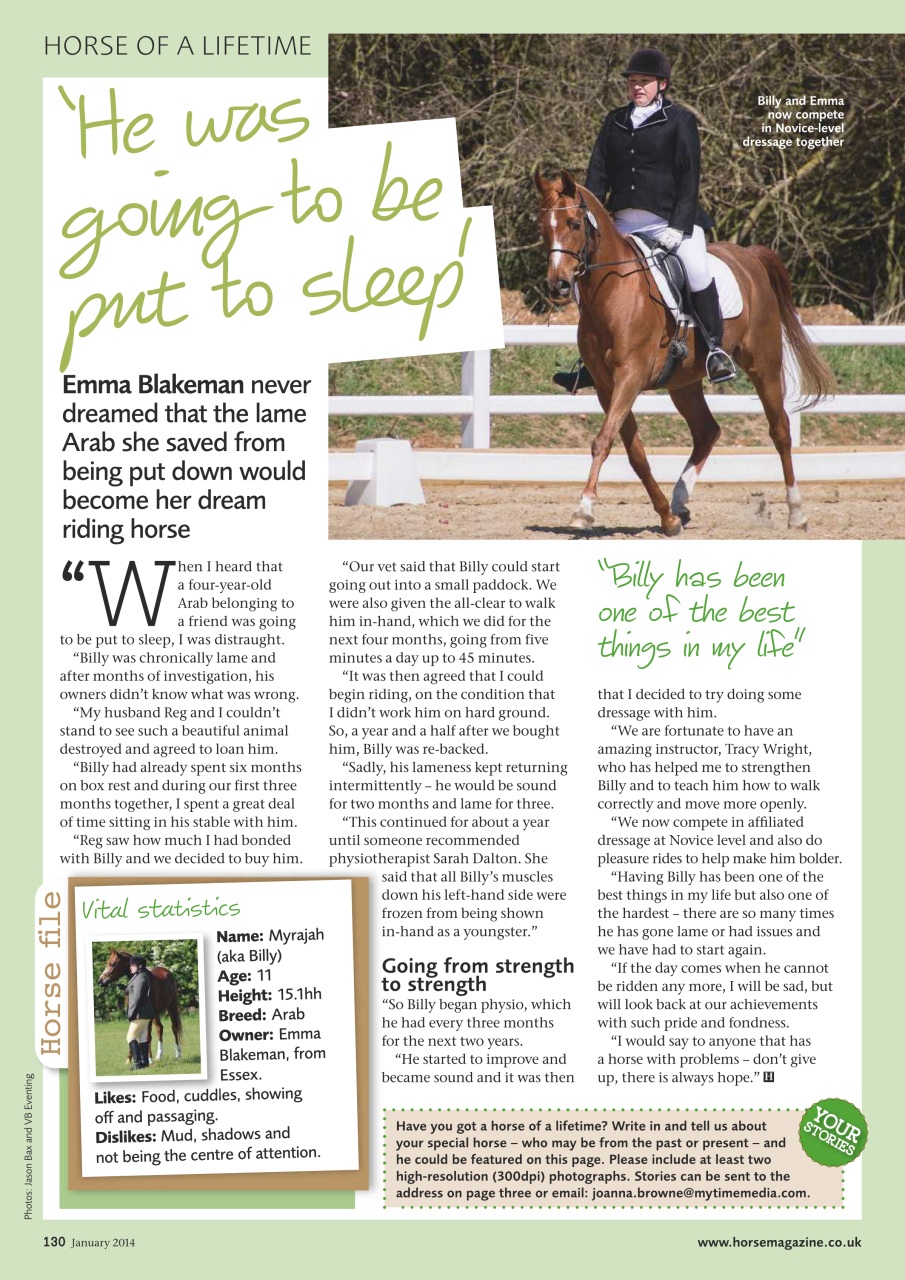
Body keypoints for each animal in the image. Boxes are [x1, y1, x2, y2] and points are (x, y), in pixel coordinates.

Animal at [534, 170, 835, 534]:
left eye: (576, 224)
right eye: (543, 227)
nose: (559, 285)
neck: (612, 292)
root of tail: (749, 256)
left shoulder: (630, 377)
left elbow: (603, 441)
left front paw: (584, 509)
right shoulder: (608, 387)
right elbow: (635, 453)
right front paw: (667, 517)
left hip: (763, 364)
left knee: (780, 431)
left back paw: (796, 512)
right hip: (684, 383)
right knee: (707, 431)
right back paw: (680, 501)